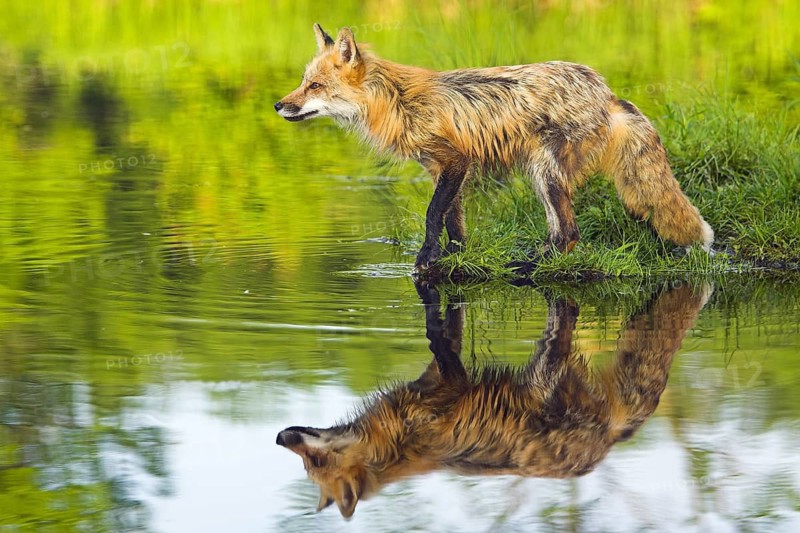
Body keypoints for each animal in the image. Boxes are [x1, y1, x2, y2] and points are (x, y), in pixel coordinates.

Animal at [275, 24, 714, 272]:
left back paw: (528, 269)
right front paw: (454, 259)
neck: (398, 102)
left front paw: (425, 260)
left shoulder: (455, 160)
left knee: (569, 233)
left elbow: (432, 215)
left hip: (544, 171)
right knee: (560, 232)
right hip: (543, 174)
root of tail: (606, 94)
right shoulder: (441, 169)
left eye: (314, 86)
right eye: (302, 82)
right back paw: (532, 261)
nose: (278, 105)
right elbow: (453, 221)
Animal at [277, 281, 712, 518]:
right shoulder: (432, 380)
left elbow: (444, 344)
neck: (393, 447)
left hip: (547, 382)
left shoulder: (446, 389)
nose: (280, 437)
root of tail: (604, 448)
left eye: (315, 461)